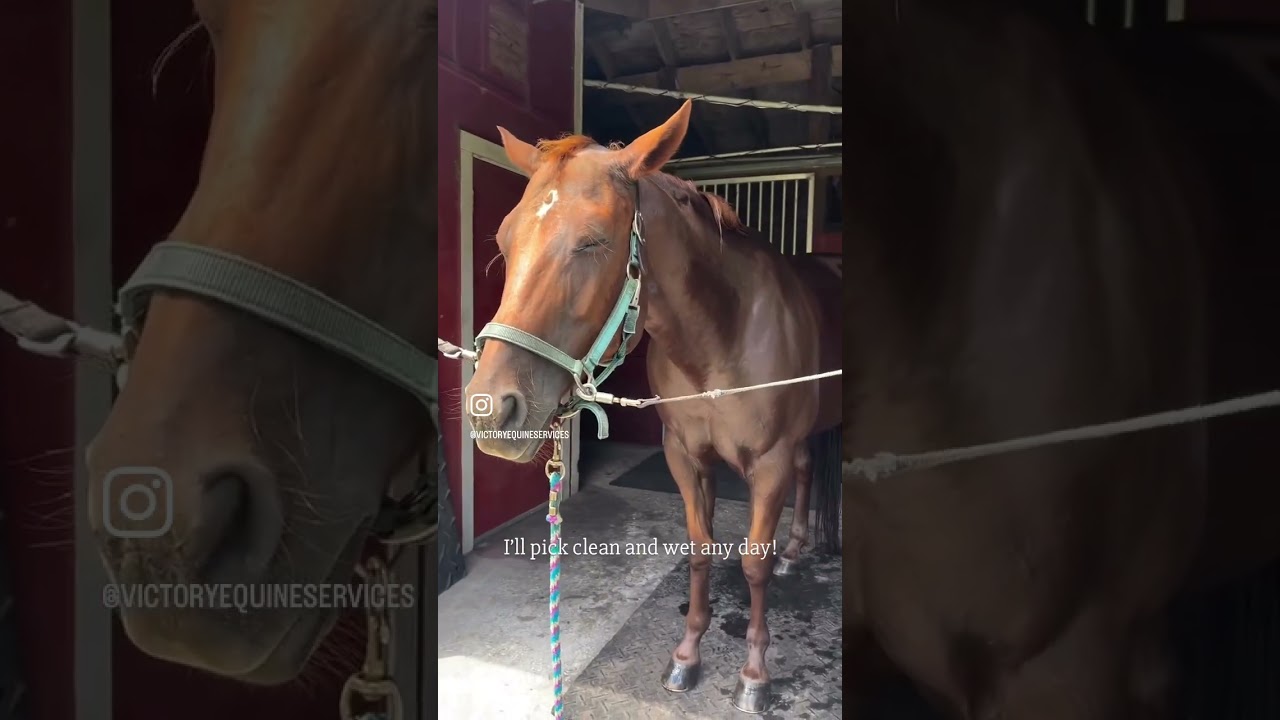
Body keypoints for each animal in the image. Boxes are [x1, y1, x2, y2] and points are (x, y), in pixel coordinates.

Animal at [461, 100, 842, 713]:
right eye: (503, 238)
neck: (723, 334)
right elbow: (700, 549)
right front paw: (686, 656)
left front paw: (754, 676)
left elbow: (752, 562)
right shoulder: (684, 455)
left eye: (593, 241)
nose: (490, 410)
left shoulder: (769, 463)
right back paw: (796, 548)